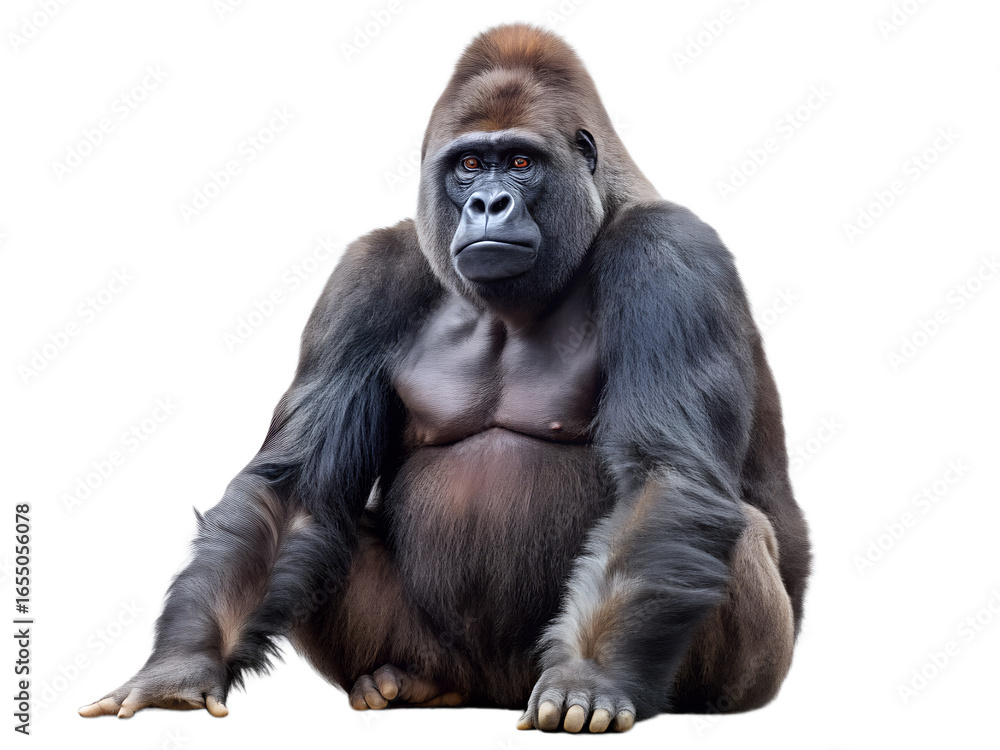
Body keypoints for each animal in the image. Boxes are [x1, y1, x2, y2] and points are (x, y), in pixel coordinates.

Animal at [81, 23, 810, 733]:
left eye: (521, 162)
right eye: (469, 165)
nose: (488, 203)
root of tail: (491, 693)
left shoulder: (671, 252)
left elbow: (665, 476)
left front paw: (591, 676)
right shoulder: (366, 276)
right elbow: (296, 492)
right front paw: (182, 666)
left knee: (732, 529)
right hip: (450, 659)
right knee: (330, 526)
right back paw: (407, 682)